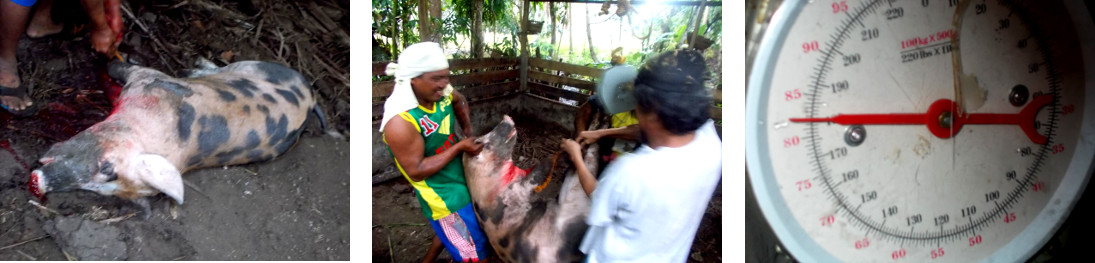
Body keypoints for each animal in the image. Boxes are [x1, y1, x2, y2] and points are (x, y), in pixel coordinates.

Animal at [27, 59, 321, 207]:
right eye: (107, 167)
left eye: (106, 180)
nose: (37, 183)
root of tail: (311, 99)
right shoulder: (151, 80)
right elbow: (123, 67)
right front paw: (105, 60)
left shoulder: (149, 80)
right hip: (263, 65)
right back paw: (195, 68)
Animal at [462, 116, 600, 261]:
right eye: (486, 144)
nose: (506, 117)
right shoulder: (514, 194)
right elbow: (536, 174)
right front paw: (552, 157)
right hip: (574, 202)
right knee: (589, 161)